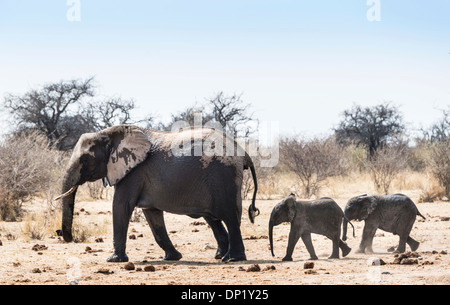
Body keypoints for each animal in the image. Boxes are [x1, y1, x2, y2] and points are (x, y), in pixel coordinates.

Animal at [55, 123, 260, 262]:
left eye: (85, 159)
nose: (63, 234)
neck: (108, 133)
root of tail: (243, 152)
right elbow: (152, 215)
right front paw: (173, 257)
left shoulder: (134, 172)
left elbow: (121, 205)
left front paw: (114, 260)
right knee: (213, 219)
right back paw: (220, 256)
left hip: (224, 176)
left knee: (230, 217)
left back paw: (234, 259)